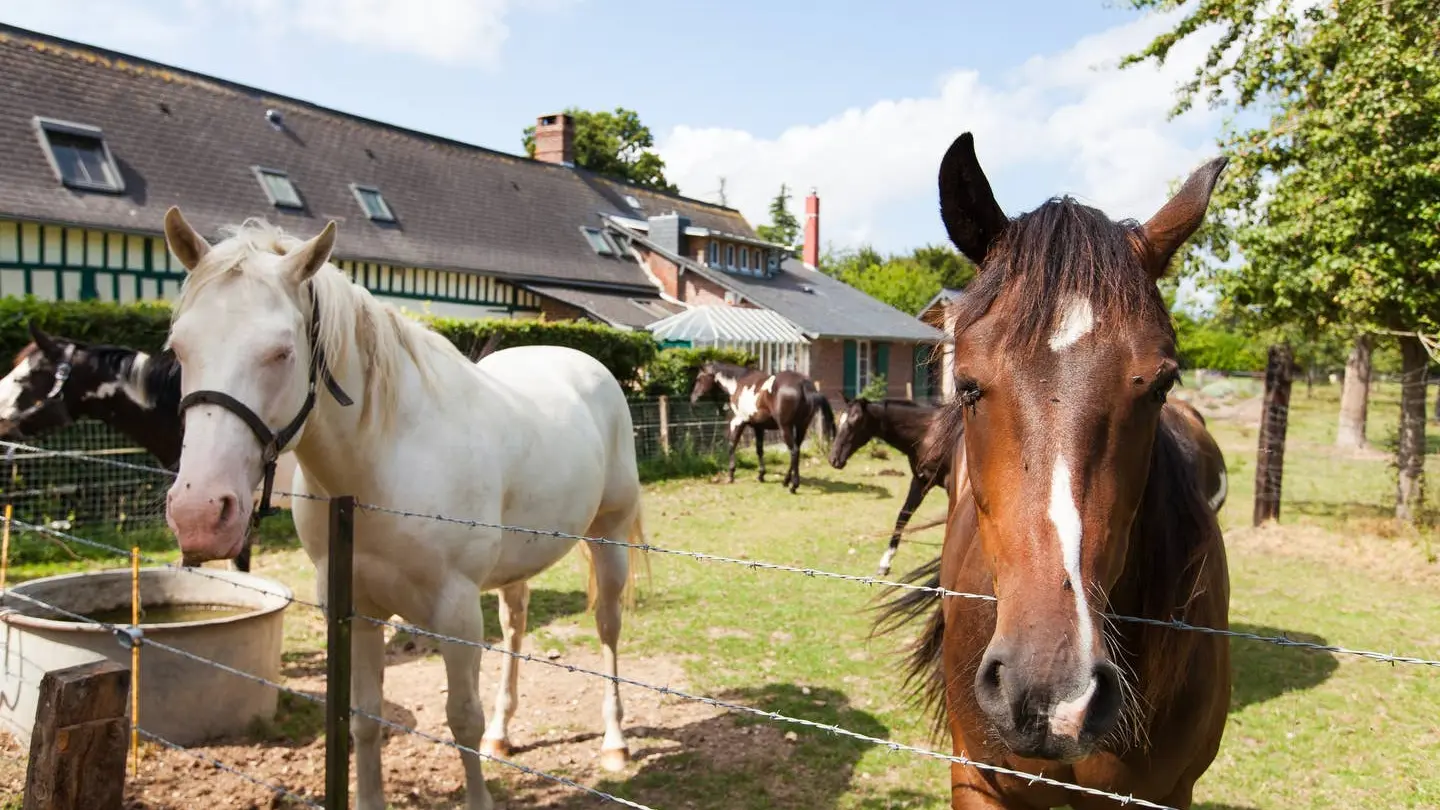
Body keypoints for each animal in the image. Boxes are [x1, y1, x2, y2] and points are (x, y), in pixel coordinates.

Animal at [160, 206, 650, 807]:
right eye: (179, 350)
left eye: (281, 352)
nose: (200, 514)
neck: (381, 464)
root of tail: (585, 364)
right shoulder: (356, 607)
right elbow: (366, 717)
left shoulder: (457, 611)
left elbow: (461, 719)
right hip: (517, 563)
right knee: (515, 624)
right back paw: (504, 734)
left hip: (609, 537)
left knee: (607, 628)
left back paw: (615, 743)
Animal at [691, 360, 840, 492]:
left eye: (699, 379)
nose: (693, 399)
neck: (739, 382)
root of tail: (804, 385)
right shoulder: (759, 426)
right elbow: (759, 449)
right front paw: (761, 475)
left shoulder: (739, 421)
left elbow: (732, 445)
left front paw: (731, 475)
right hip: (801, 427)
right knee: (796, 451)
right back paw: (786, 481)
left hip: (785, 428)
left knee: (794, 451)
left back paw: (793, 486)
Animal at [829, 394, 950, 573]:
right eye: (840, 420)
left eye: (855, 421)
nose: (833, 459)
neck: (929, 433)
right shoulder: (921, 481)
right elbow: (903, 515)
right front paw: (885, 562)